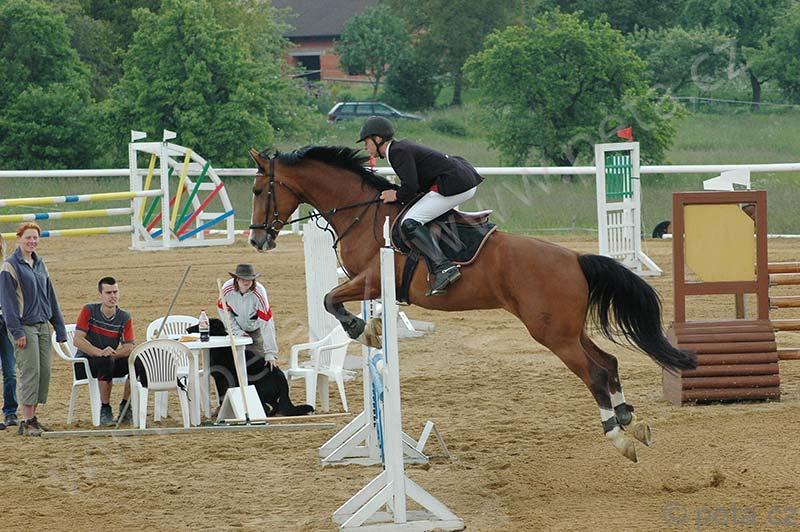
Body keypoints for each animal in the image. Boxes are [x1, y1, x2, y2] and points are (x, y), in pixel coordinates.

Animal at [247, 145, 696, 462]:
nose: (257, 239)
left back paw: (618, 435)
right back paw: (630, 421)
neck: (363, 214)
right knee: (608, 362)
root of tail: (575, 258)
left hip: (552, 334)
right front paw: (371, 330)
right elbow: (336, 300)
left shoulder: (370, 278)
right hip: (565, 329)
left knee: (596, 373)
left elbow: (331, 299)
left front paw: (360, 329)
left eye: (258, 190)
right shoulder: (371, 286)